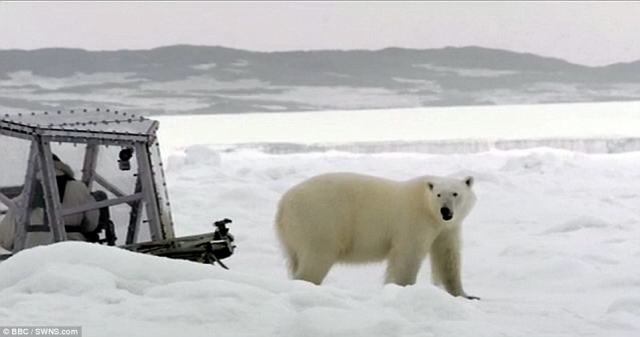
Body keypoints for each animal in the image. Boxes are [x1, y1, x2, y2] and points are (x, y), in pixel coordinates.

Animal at [272, 172, 478, 298]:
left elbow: (447, 257)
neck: (429, 211)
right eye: (438, 194)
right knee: (317, 257)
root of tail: (283, 204)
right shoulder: (413, 221)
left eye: (455, 193)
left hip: (294, 234)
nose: (445, 211)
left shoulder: (448, 228)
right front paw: (402, 288)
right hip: (319, 220)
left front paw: (466, 295)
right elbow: (407, 256)